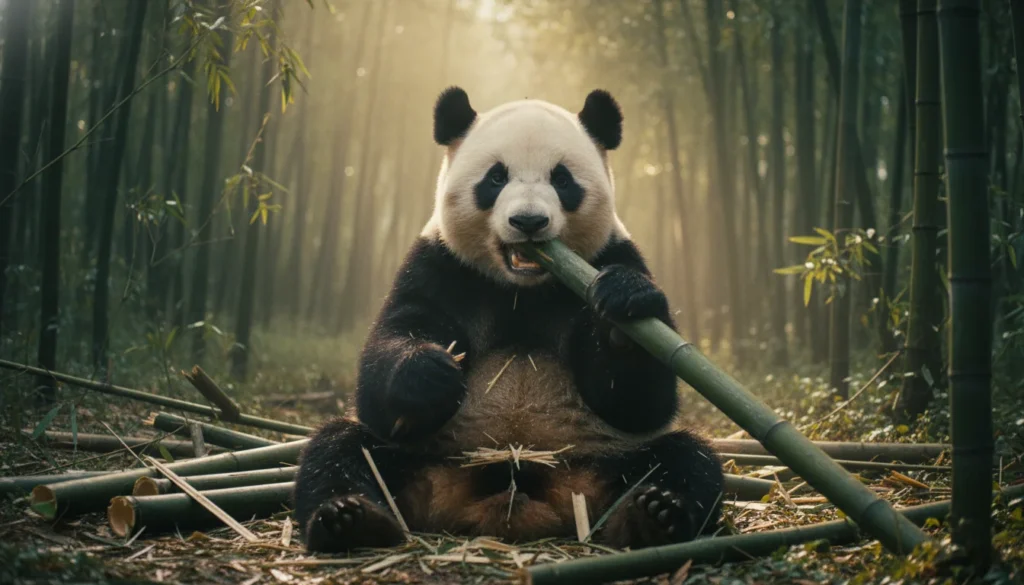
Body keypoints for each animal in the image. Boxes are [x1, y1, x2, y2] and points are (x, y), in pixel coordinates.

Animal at [293, 87, 724, 552]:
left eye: (562, 179)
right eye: (495, 178)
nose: (529, 221)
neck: (522, 290)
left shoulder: (611, 255)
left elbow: (641, 404)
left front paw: (623, 307)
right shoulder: (438, 267)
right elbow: (381, 379)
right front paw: (429, 372)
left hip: (602, 459)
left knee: (687, 458)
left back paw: (653, 515)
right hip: (426, 458)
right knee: (340, 448)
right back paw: (350, 519)